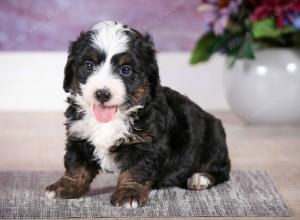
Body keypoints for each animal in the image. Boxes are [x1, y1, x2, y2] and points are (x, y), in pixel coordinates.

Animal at [45, 20, 231, 208]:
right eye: (88, 65)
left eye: (126, 69)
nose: (102, 94)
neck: (111, 119)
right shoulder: (78, 135)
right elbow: (75, 164)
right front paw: (65, 185)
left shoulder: (143, 143)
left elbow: (135, 170)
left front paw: (129, 194)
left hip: (214, 140)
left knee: (223, 170)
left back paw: (201, 178)